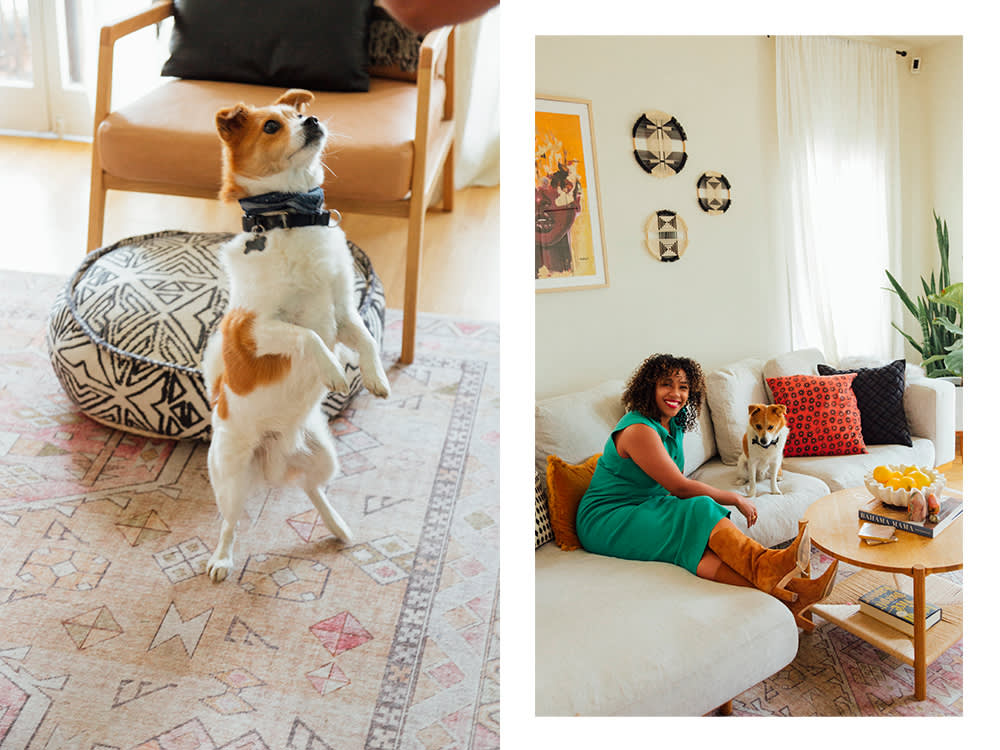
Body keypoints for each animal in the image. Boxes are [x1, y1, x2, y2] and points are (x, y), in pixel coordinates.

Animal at [202, 86, 390, 580]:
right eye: (272, 125)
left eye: (298, 113)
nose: (315, 121)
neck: (291, 218)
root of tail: (274, 459)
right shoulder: (253, 332)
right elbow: (308, 337)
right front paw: (336, 373)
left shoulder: (344, 314)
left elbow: (365, 338)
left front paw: (376, 377)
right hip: (231, 479)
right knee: (229, 522)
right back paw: (221, 560)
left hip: (325, 456)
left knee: (312, 490)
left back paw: (338, 527)